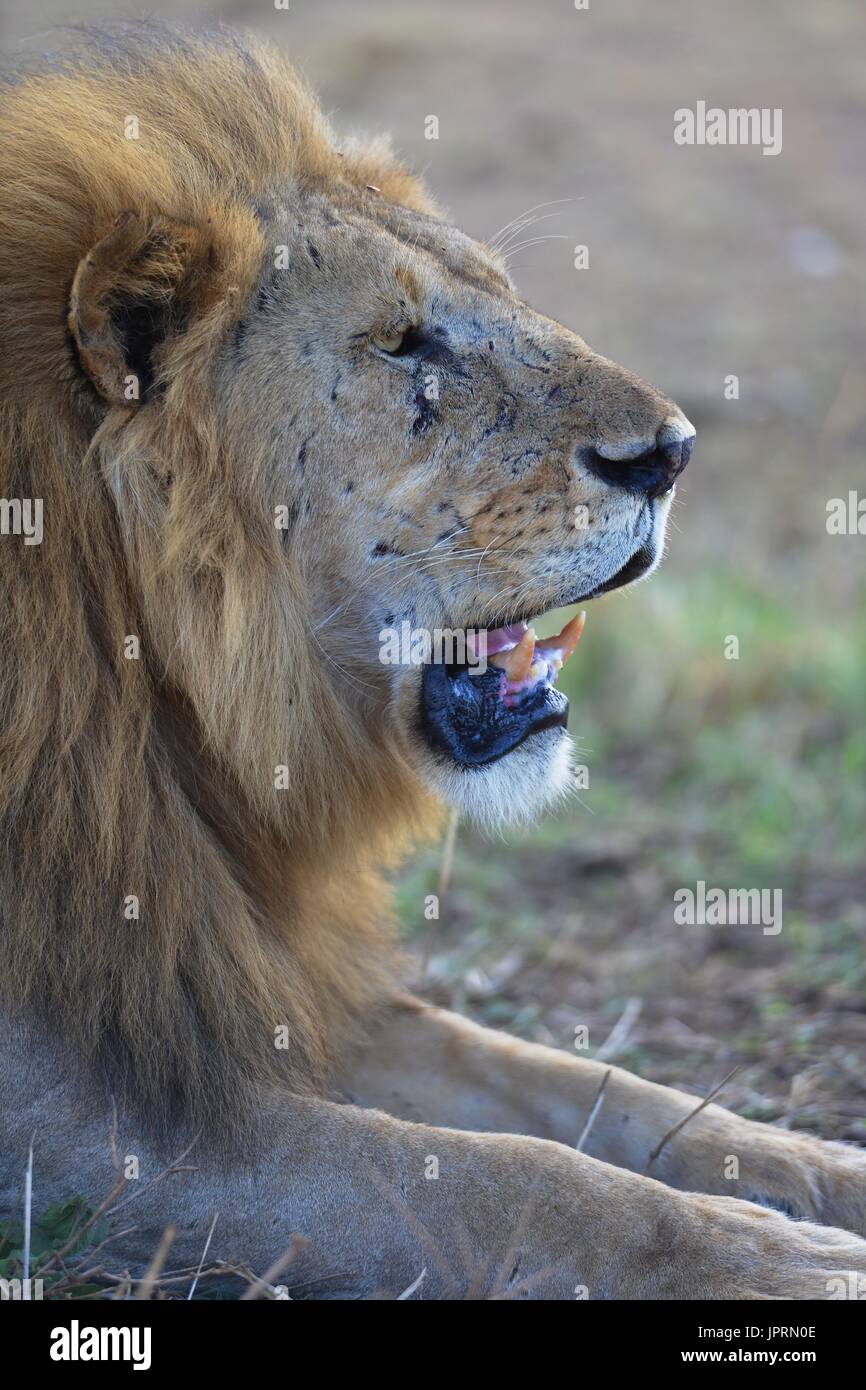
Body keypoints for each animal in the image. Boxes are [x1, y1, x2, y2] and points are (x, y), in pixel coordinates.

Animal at [1, 24, 866, 1301]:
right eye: (401, 343)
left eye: (504, 297)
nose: (671, 452)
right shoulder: (87, 1125)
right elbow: (509, 1181)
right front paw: (778, 1262)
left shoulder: (249, 972)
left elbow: (575, 1082)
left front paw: (812, 1168)